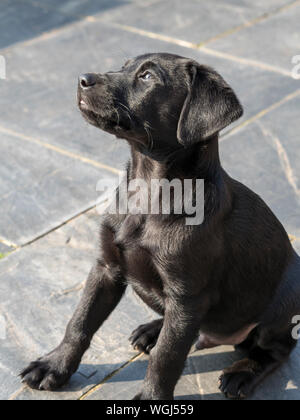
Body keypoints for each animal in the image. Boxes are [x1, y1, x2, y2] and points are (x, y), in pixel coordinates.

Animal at [21, 53, 300, 400]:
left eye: (148, 76)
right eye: (124, 66)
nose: (82, 79)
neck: (147, 192)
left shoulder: (187, 296)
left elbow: (167, 357)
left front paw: (151, 399)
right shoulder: (106, 266)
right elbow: (80, 321)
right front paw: (54, 366)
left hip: (281, 306)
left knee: (277, 349)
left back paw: (242, 373)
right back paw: (152, 330)